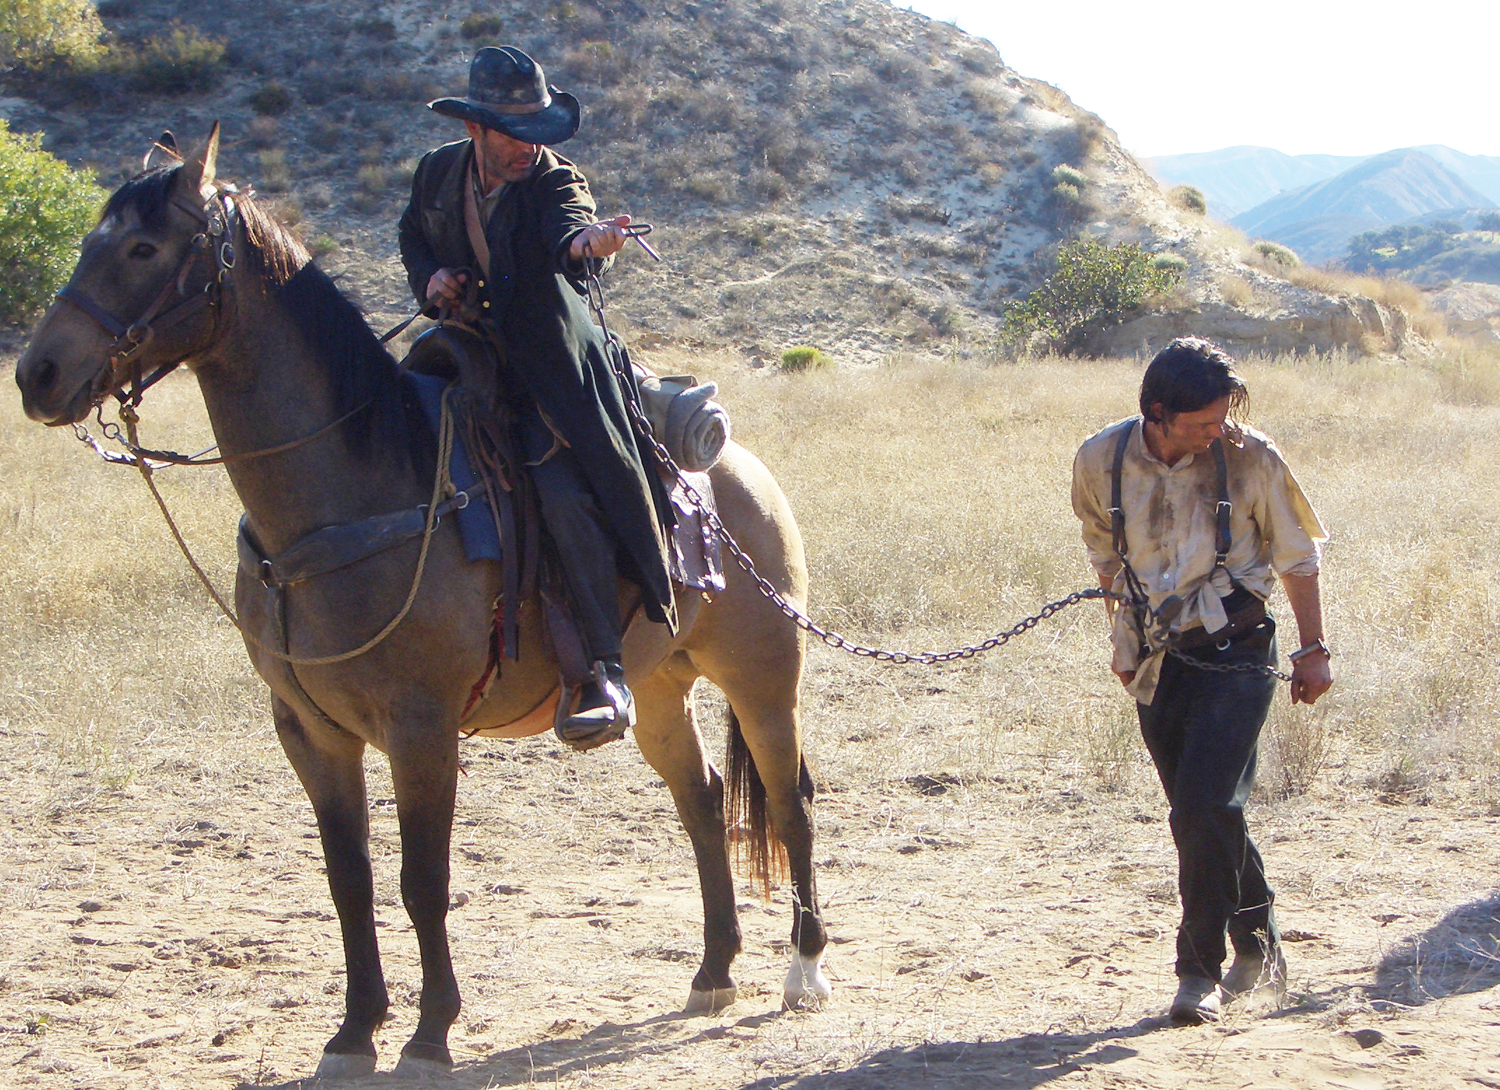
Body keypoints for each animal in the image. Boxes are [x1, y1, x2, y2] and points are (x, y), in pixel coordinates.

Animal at [14, 129, 834, 1085]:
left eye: (144, 248)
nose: (38, 373)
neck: (357, 488)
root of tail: (734, 467)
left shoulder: (422, 729)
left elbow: (423, 882)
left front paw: (429, 1033)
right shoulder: (309, 730)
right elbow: (350, 880)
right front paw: (353, 1031)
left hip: (763, 676)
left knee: (788, 800)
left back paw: (803, 970)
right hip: (661, 687)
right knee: (702, 801)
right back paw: (712, 971)